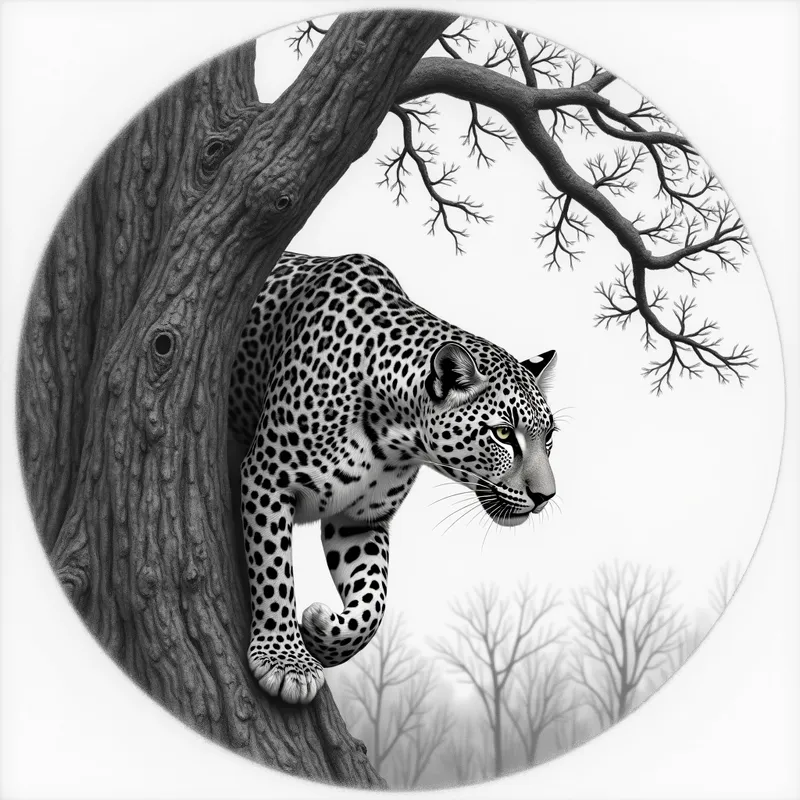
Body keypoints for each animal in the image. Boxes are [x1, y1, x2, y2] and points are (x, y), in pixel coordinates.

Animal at [228, 251, 558, 704]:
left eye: (550, 437)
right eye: (504, 434)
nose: (547, 496)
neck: (394, 437)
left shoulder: (358, 520)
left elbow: (374, 600)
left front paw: (322, 634)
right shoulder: (269, 478)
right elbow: (273, 571)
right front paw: (284, 661)